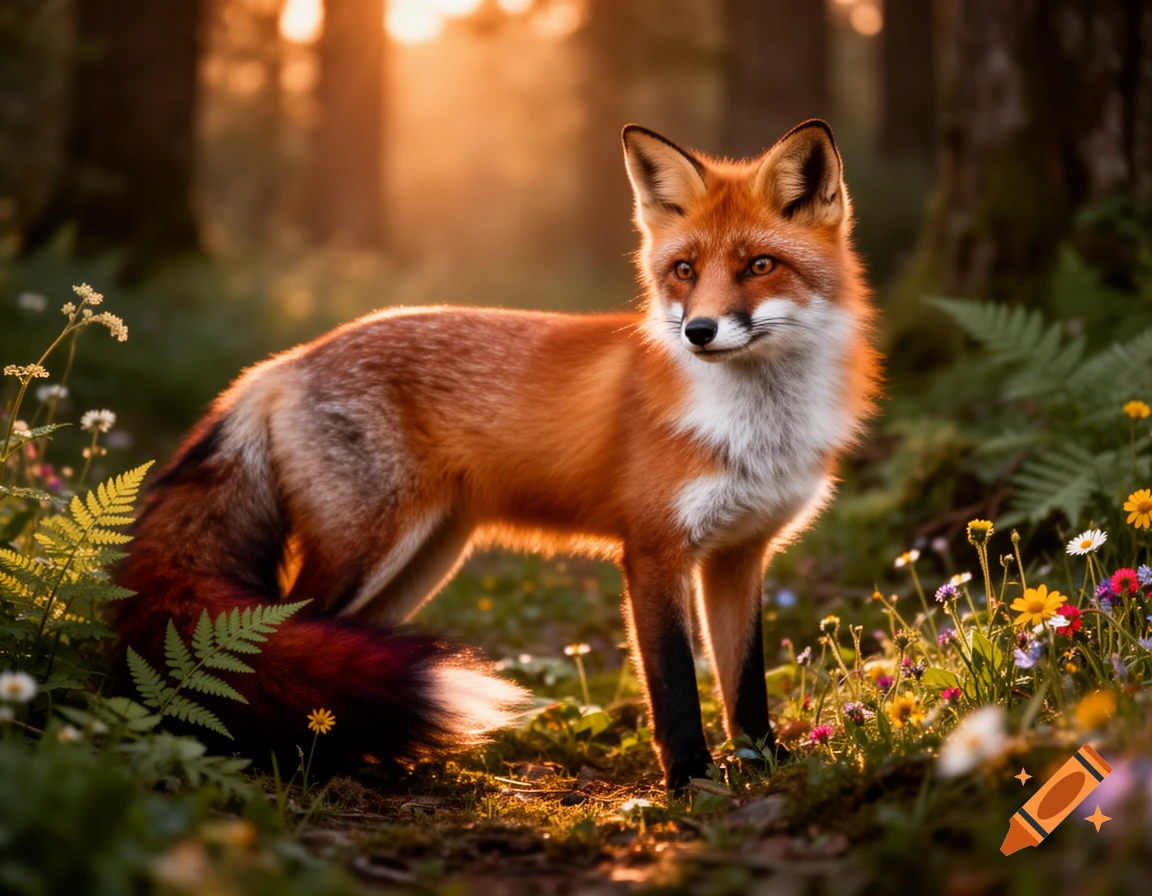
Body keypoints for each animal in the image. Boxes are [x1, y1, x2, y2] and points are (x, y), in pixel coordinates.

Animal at [113, 119, 879, 788]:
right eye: (685, 270)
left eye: (760, 266)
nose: (698, 331)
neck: (754, 428)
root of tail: (283, 362)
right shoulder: (654, 550)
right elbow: (674, 683)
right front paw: (690, 781)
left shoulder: (739, 555)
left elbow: (743, 683)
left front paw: (766, 765)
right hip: (365, 550)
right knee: (277, 636)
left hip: (421, 560)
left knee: (340, 652)